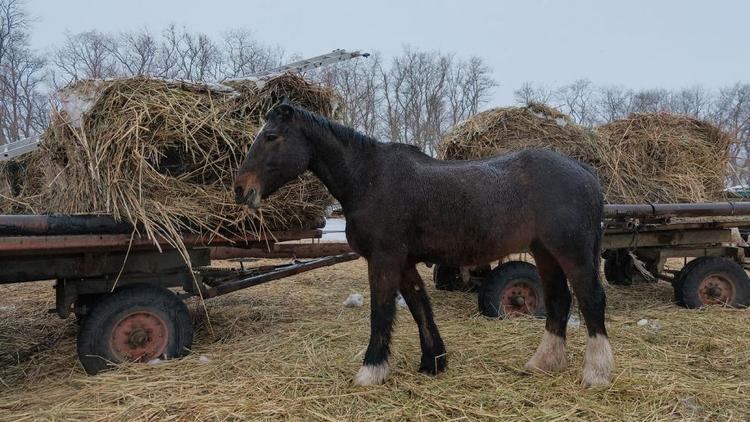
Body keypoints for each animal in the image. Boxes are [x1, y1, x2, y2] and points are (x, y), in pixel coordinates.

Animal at [236, 99, 616, 390]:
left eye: (270, 136)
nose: (241, 189)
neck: (369, 179)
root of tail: (585, 171)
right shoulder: (404, 262)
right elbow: (420, 306)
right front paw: (433, 361)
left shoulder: (384, 259)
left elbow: (381, 313)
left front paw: (370, 372)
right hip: (545, 252)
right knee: (558, 300)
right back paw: (543, 363)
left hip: (572, 253)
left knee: (591, 299)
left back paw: (597, 374)